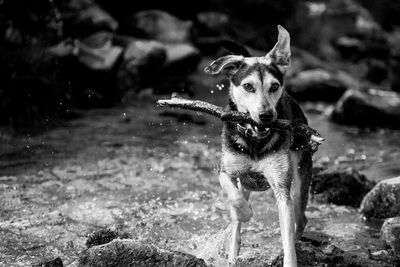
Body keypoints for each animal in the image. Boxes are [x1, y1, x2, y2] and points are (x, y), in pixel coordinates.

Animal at [203, 25, 312, 267]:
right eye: (248, 86)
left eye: (274, 86)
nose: (266, 116)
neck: (255, 140)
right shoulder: (226, 170)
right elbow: (234, 198)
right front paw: (244, 213)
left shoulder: (281, 187)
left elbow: (287, 236)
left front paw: (289, 256)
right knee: (237, 216)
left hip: (301, 177)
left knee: (300, 218)